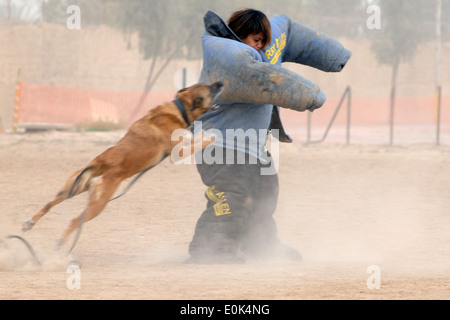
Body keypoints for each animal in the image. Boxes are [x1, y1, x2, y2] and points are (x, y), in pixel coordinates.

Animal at [22, 81, 223, 246]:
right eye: (209, 88)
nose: (220, 83)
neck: (180, 108)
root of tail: (98, 164)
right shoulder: (179, 153)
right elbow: (200, 141)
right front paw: (212, 135)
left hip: (70, 188)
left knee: (49, 204)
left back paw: (29, 223)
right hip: (98, 205)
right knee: (74, 221)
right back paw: (60, 242)